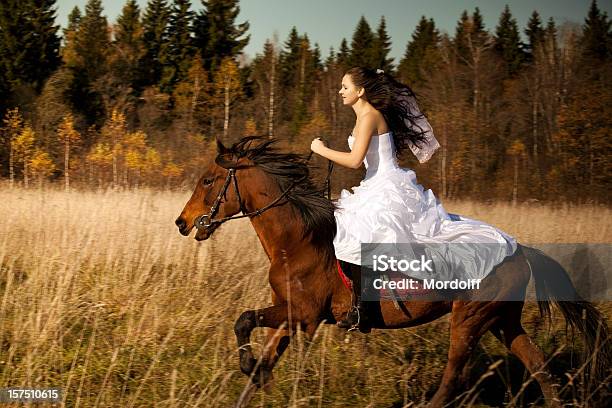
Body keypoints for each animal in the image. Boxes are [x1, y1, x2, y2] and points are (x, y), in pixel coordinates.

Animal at [175, 137, 608, 408]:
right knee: (540, 368)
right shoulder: (289, 315)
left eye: (209, 180)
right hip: (502, 320)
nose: (183, 222)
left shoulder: (304, 315)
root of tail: (519, 249)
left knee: (454, 379)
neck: (298, 239)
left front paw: (251, 368)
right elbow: (258, 353)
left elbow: (244, 321)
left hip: (469, 319)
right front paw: (255, 375)